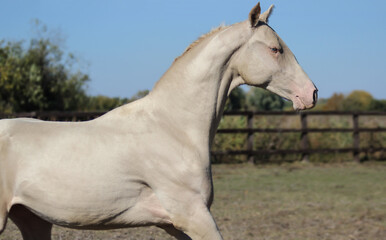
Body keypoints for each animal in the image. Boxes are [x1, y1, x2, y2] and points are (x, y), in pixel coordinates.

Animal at [0, 2, 318, 240]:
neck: (174, 128)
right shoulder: (193, 215)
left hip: (32, 220)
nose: (311, 93)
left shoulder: (173, 224)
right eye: (275, 49)